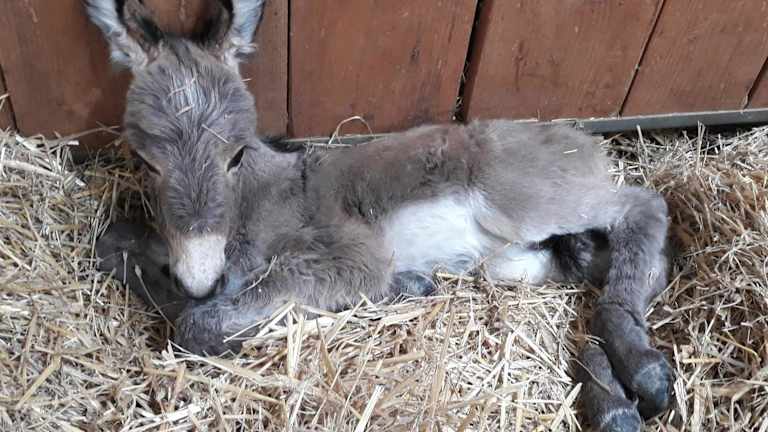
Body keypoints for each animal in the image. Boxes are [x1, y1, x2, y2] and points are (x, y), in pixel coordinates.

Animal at [86, 1, 672, 430]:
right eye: (145, 162)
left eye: (236, 155)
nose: (201, 276)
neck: (259, 199)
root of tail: (576, 137)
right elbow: (116, 246)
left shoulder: (348, 255)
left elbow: (194, 322)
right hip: (512, 261)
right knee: (615, 260)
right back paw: (617, 391)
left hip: (524, 201)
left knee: (644, 207)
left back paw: (636, 362)